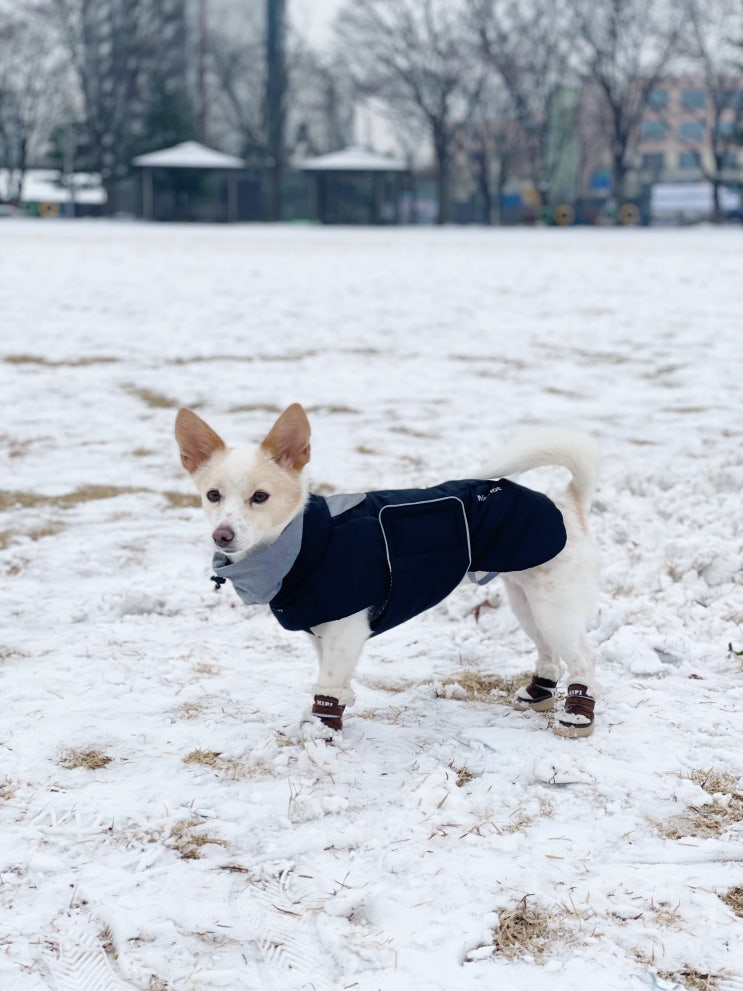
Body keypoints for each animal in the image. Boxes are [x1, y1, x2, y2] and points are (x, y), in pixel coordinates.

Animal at [177, 404, 600, 736]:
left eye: (260, 497)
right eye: (213, 495)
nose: (222, 535)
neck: (301, 543)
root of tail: (566, 502)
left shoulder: (346, 631)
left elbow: (327, 684)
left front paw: (320, 732)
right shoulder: (323, 633)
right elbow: (331, 676)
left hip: (554, 607)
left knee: (583, 658)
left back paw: (578, 713)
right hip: (528, 603)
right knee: (550, 652)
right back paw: (539, 691)